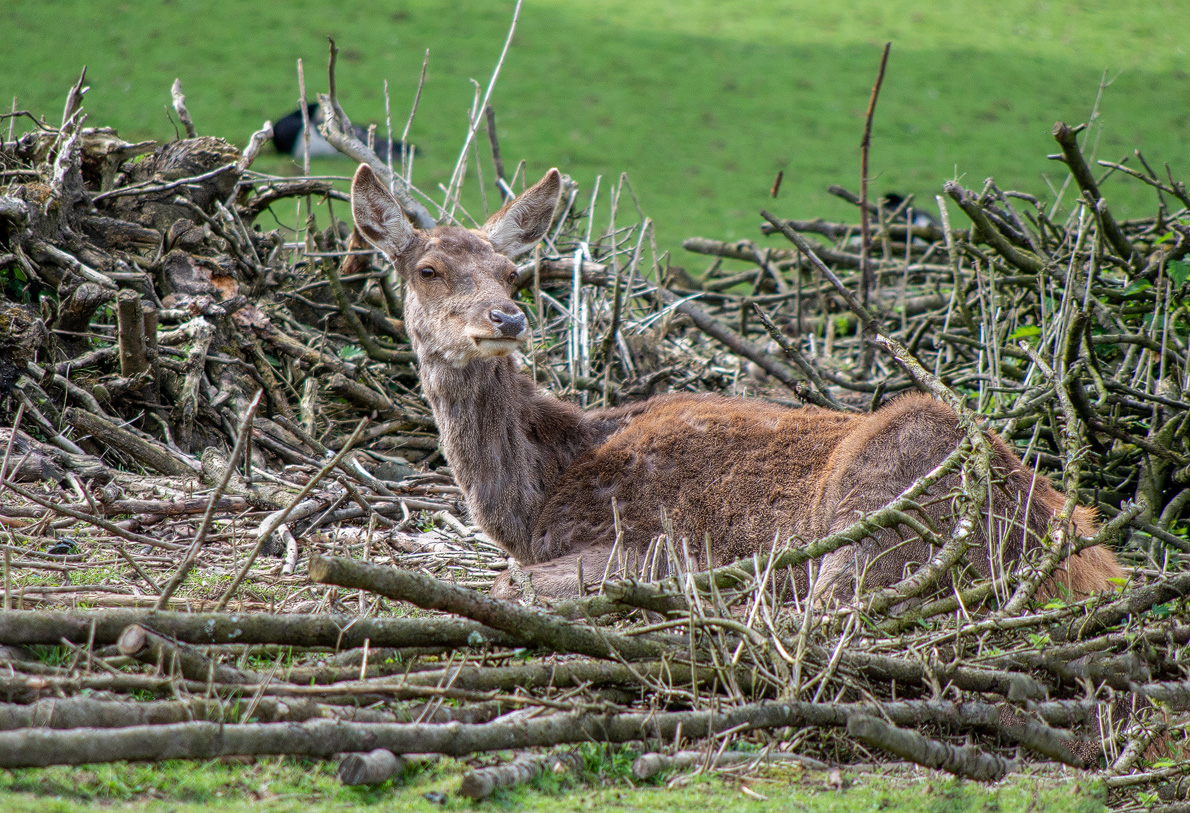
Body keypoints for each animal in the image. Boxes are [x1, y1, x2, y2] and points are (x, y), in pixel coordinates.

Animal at [347, 164, 1123, 604]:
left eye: (512, 274)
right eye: (429, 269)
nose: (506, 317)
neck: (533, 506)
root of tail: (1061, 556)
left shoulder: (641, 540)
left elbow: (511, 581)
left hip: (884, 506)